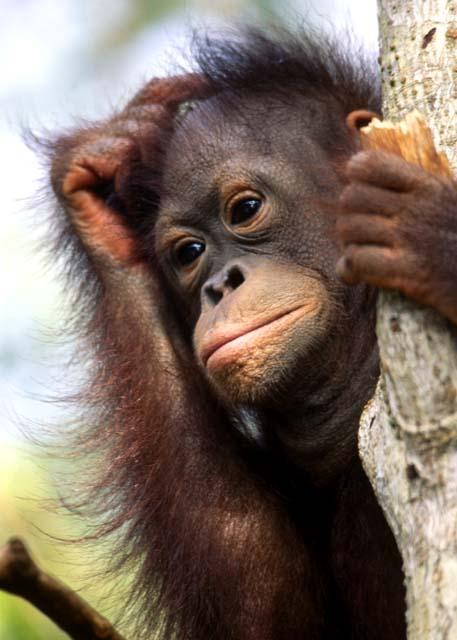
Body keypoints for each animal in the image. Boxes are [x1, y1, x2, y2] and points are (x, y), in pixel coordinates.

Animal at [45, 26, 457, 639]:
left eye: (245, 209)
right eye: (188, 253)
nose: (221, 285)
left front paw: (430, 231)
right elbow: (265, 608)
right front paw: (101, 178)